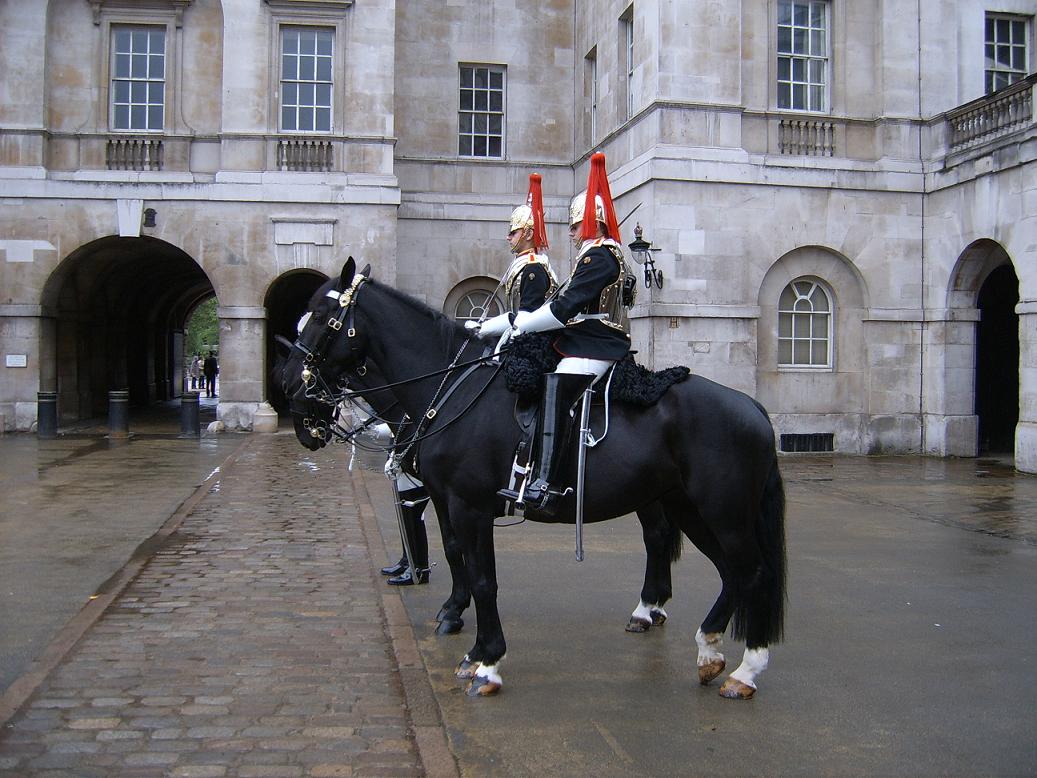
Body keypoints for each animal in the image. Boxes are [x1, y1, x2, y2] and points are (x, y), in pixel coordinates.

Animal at [284, 260, 783, 701]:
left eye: (324, 318)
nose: (290, 390)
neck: (451, 391)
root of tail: (753, 406)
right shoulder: (448, 501)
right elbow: (459, 558)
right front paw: (460, 628)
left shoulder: (469, 506)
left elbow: (483, 578)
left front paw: (486, 661)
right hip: (686, 506)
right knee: (723, 568)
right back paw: (704, 647)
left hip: (723, 513)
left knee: (751, 571)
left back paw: (746, 669)